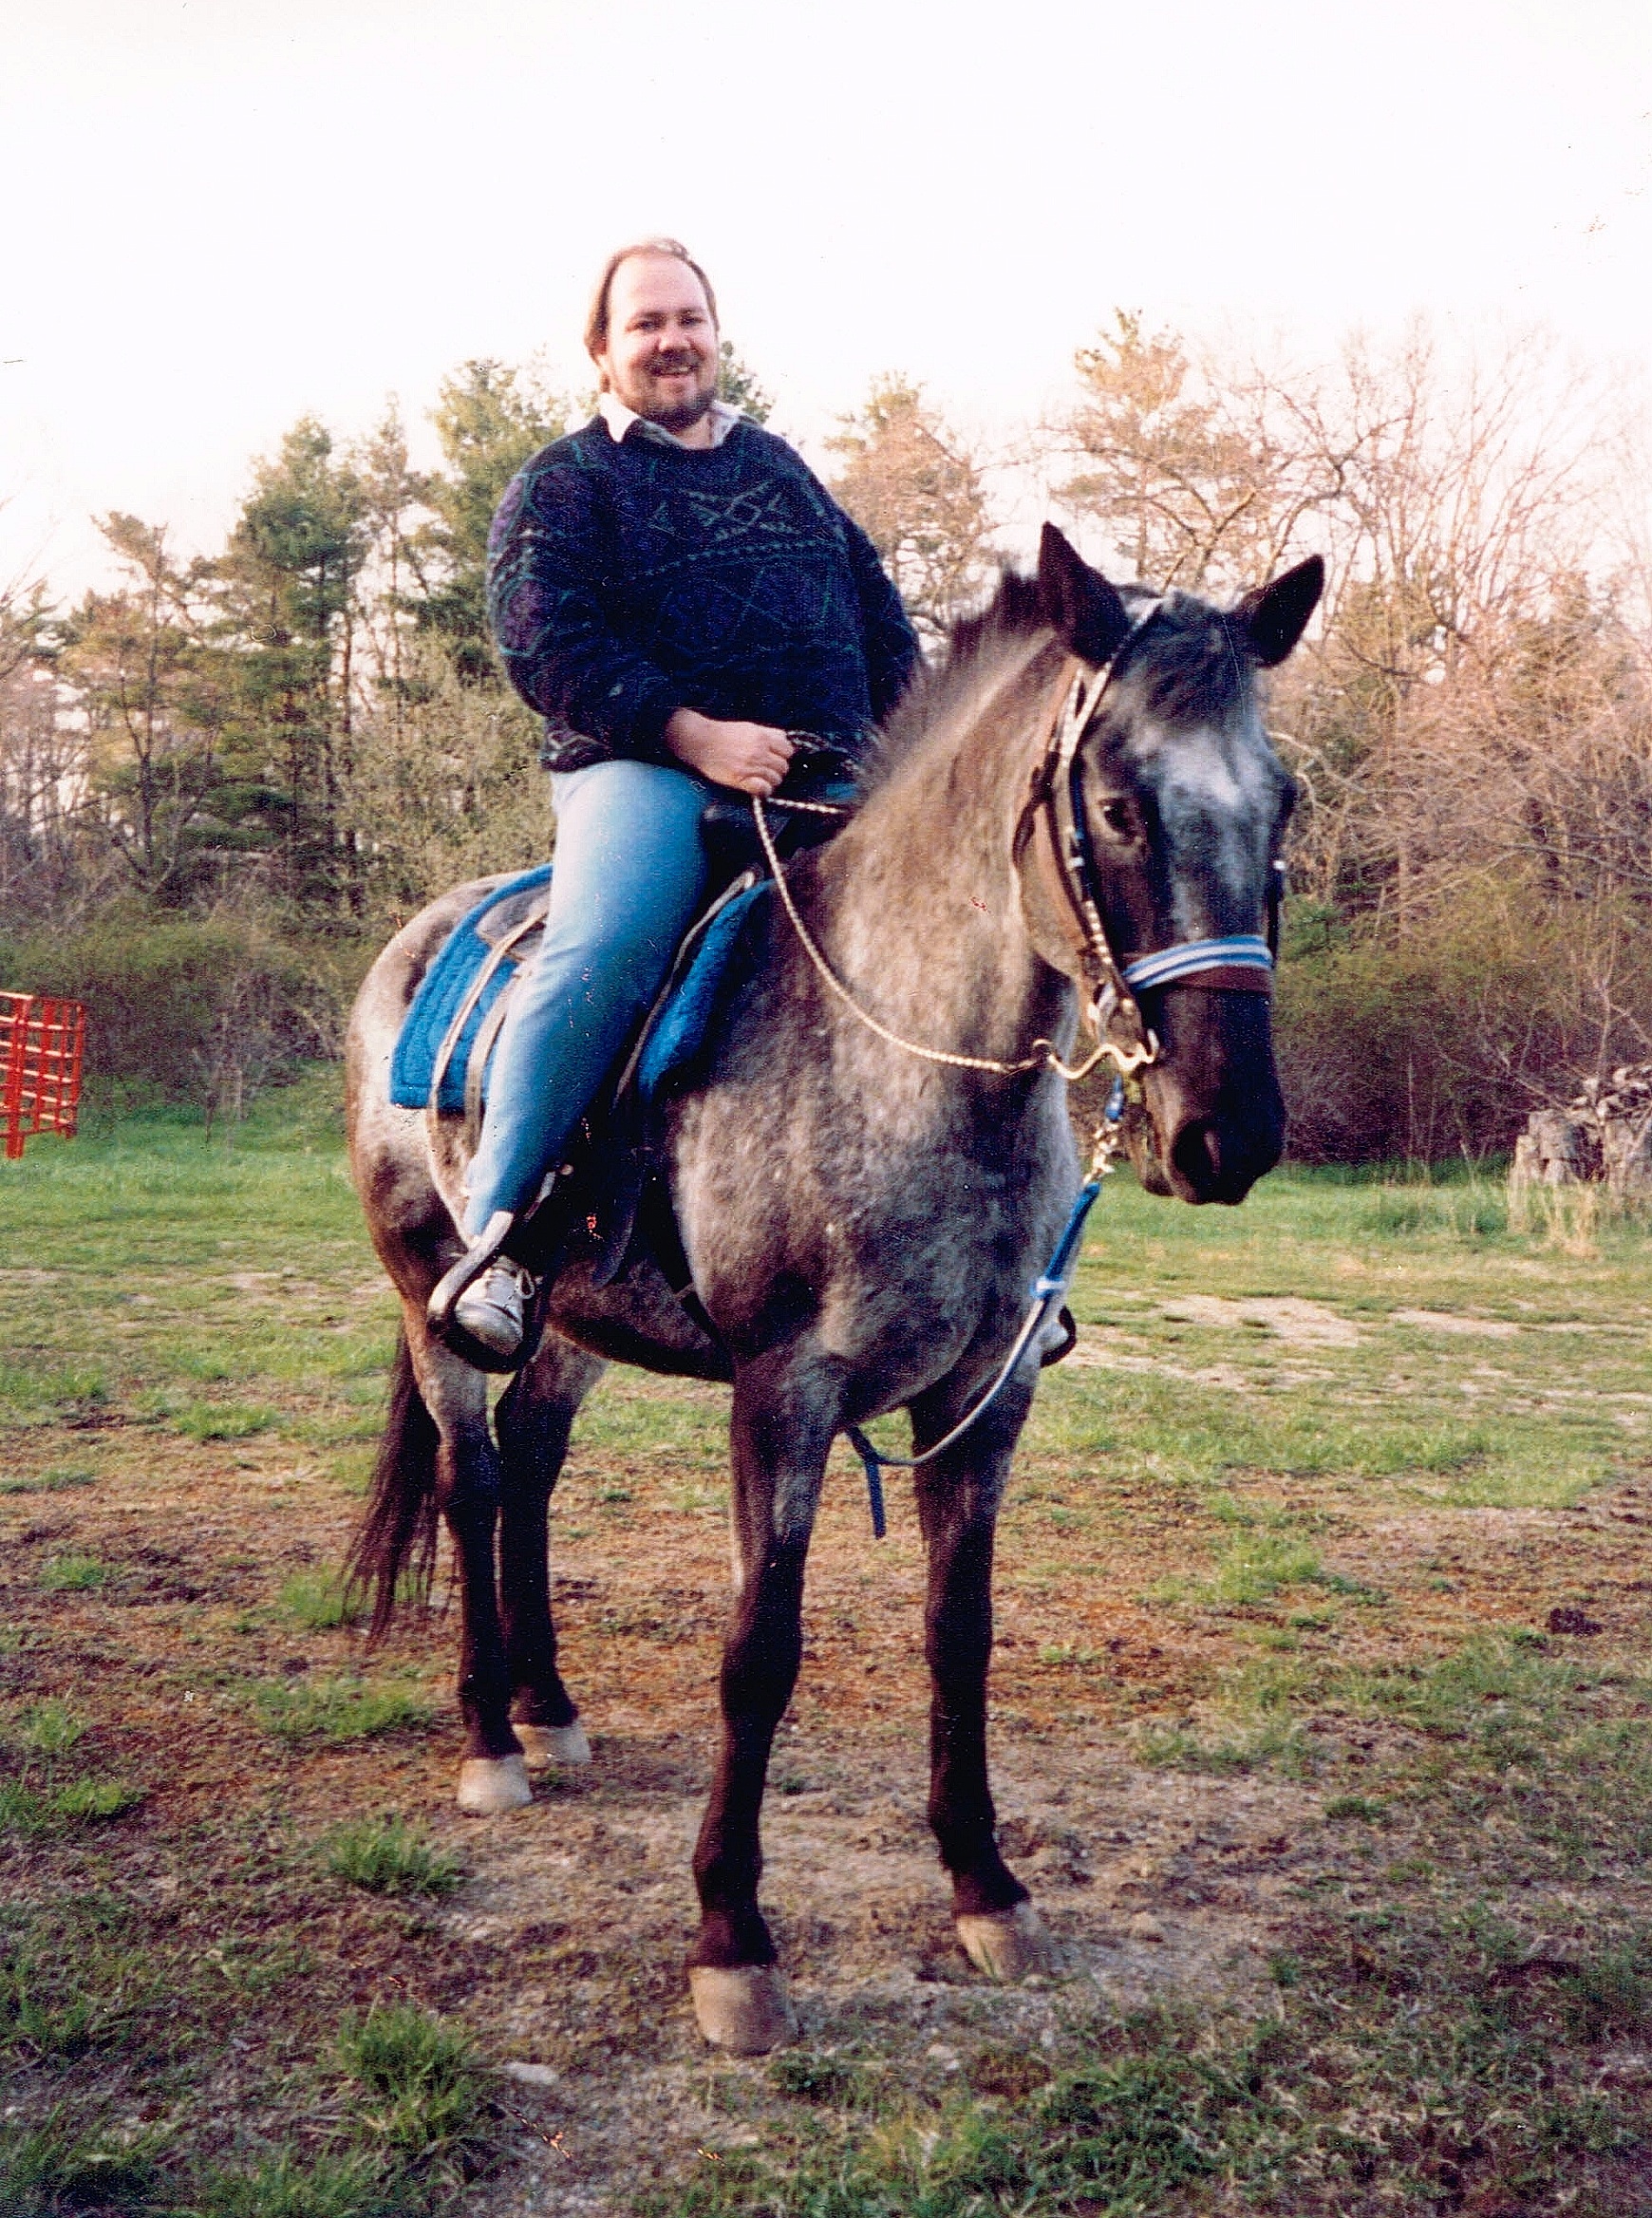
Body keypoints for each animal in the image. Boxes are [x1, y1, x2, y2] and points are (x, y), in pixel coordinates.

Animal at [342, 523, 1322, 2055]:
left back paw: (550, 1705)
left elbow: (959, 1634)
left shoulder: (986, 1398)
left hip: (576, 1328)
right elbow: (761, 1652)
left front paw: (987, 1887)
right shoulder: (785, 1396)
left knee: (535, 1465)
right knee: (474, 1478)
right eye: (1116, 805)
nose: (1230, 1133)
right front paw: (733, 1943)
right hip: (431, 1298)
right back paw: (493, 1738)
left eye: (1280, 802)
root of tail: (416, 944)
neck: (910, 1054)